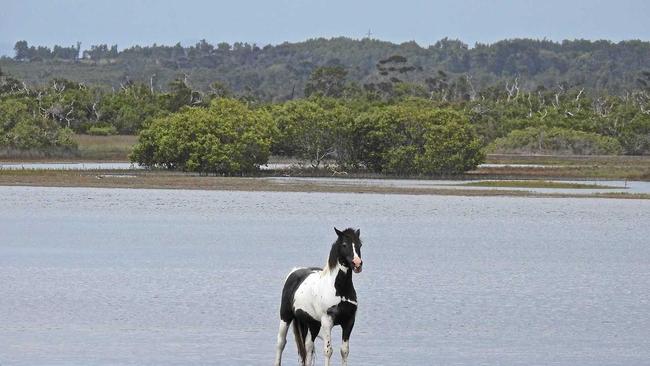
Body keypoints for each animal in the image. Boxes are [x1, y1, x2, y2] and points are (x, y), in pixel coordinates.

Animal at [274, 227, 362, 364]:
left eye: (360, 245)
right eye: (344, 244)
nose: (357, 264)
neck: (339, 290)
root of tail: (294, 271)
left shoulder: (349, 321)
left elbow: (344, 351)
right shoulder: (327, 321)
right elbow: (328, 351)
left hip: (313, 324)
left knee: (308, 347)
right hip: (285, 317)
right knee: (281, 343)